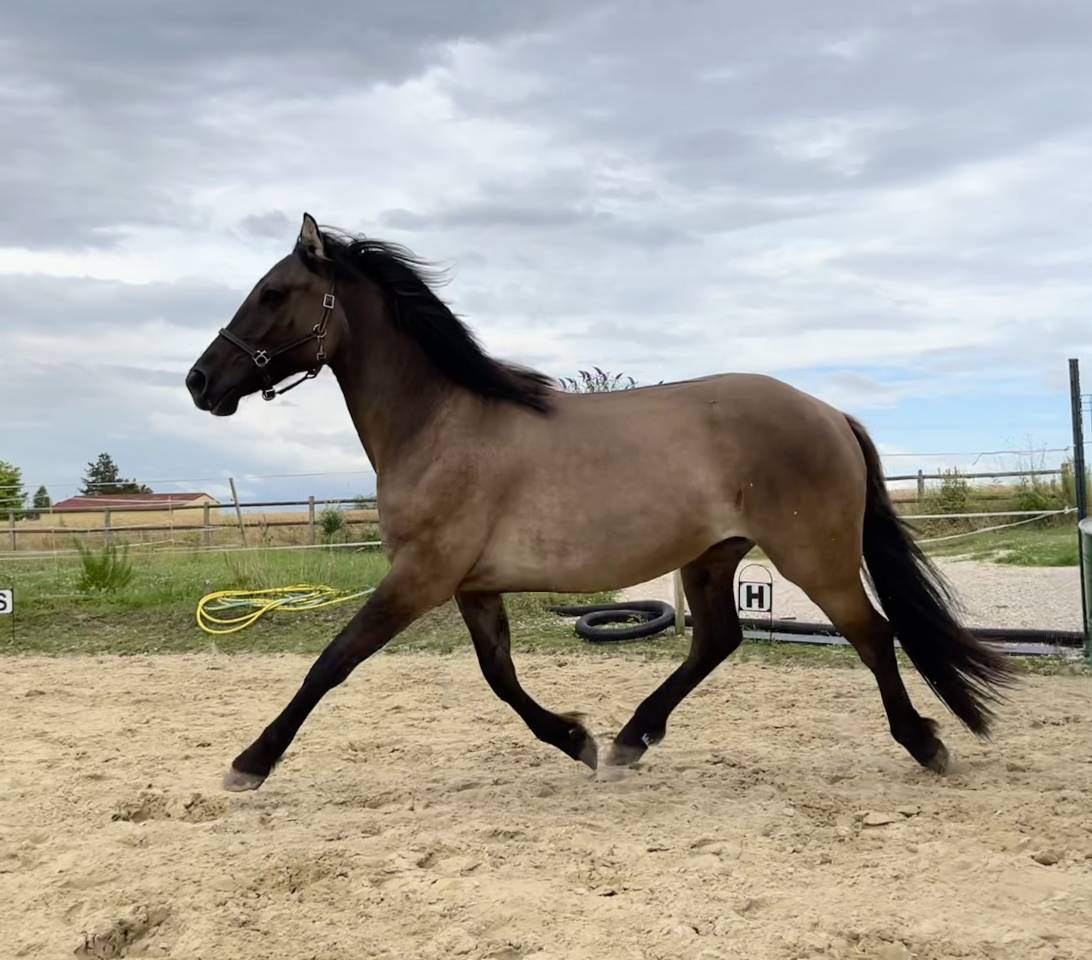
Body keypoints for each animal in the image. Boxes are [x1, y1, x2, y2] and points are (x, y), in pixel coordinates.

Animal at [186, 213, 1013, 792]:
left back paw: (927, 744)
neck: (439, 423)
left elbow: (332, 663)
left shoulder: (419, 578)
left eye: (271, 293)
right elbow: (500, 678)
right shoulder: (472, 587)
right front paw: (578, 740)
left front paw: (250, 762)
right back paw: (628, 741)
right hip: (713, 557)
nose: (199, 381)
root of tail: (830, 413)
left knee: (873, 635)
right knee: (718, 641)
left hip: (816, 557)